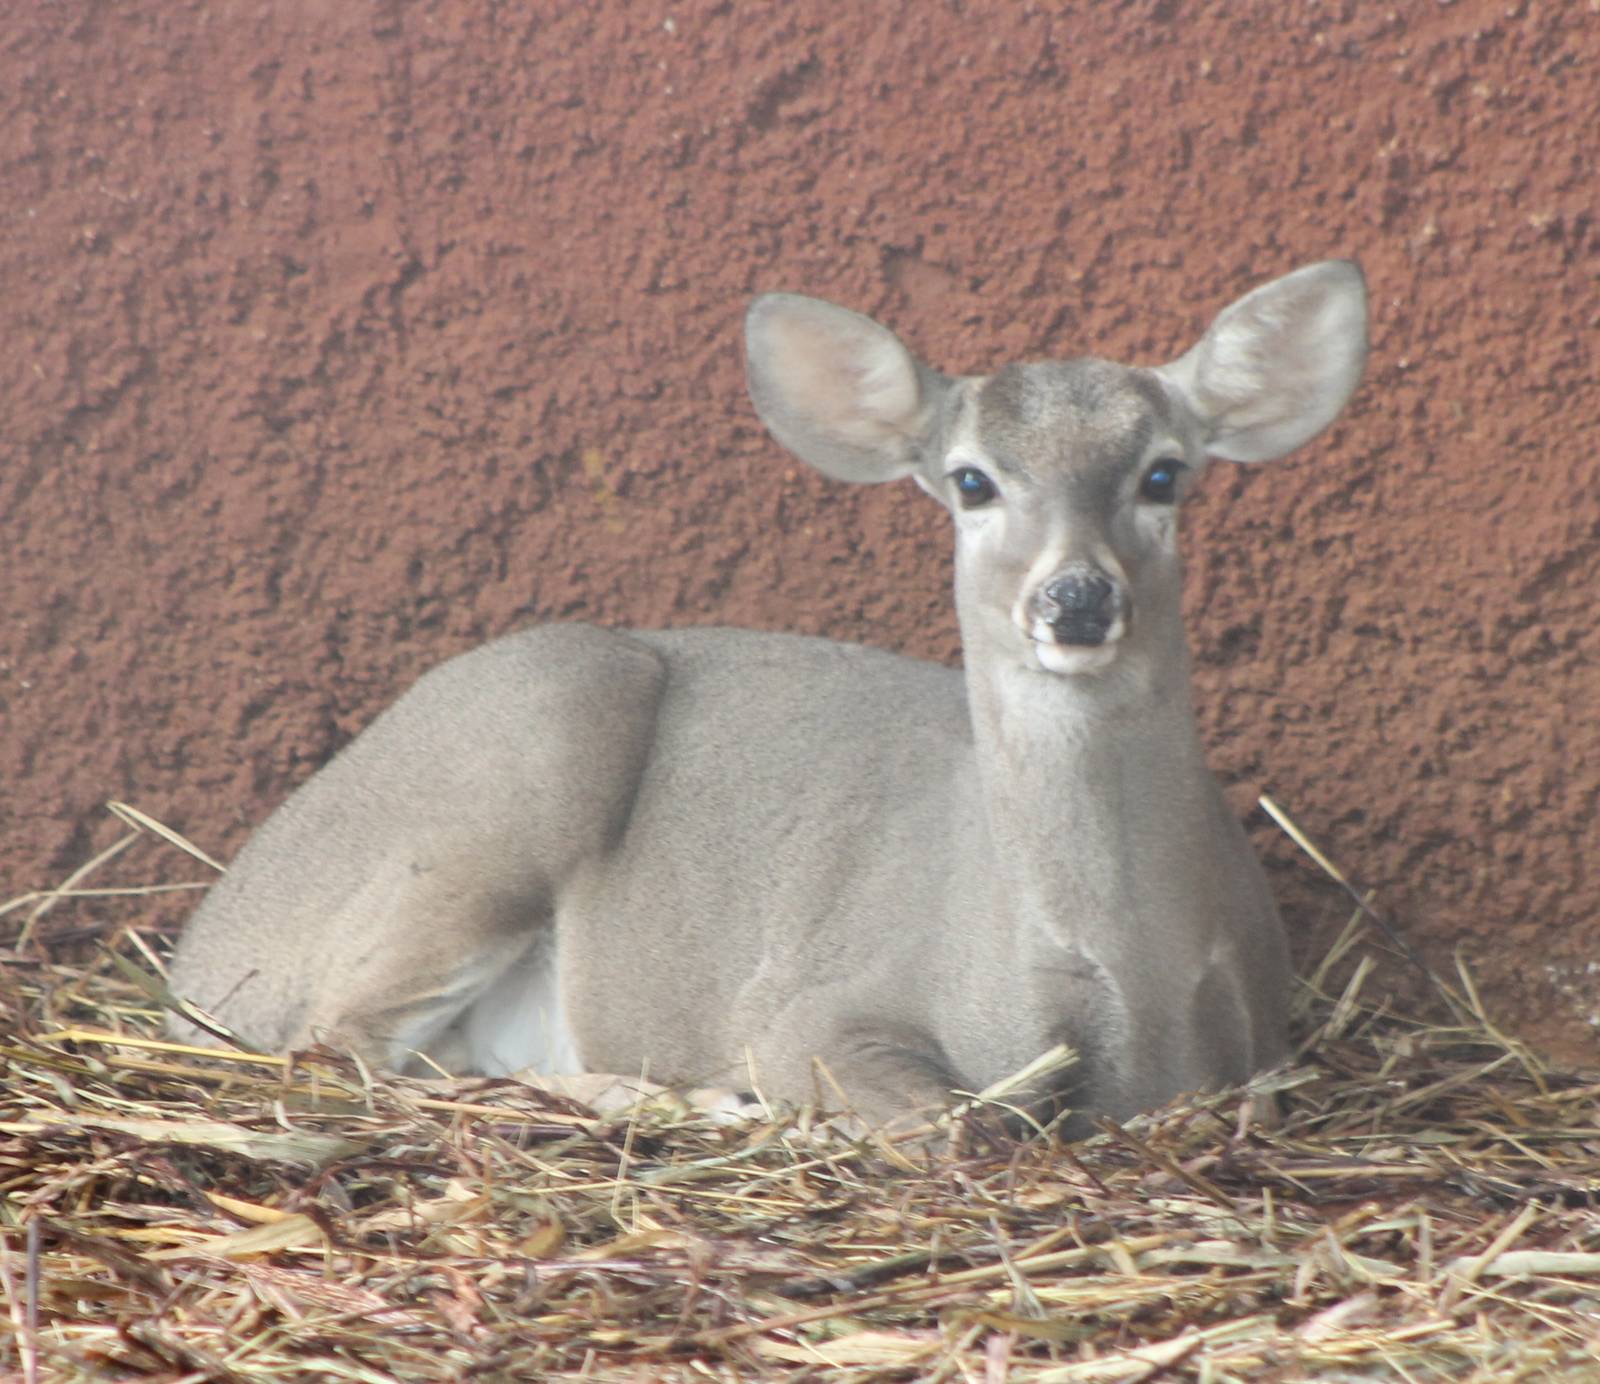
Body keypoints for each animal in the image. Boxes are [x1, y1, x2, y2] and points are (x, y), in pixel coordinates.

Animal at [167, 260, 1368, 1137]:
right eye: (971, 479)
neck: (1121, 988)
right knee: (342, 1041)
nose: (1075, 597)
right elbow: (951, 1124)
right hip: (525, 750)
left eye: (1164, 472)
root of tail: (205, 946)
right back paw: (673, 1096)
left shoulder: (1262, 1050)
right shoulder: (809, 1006)